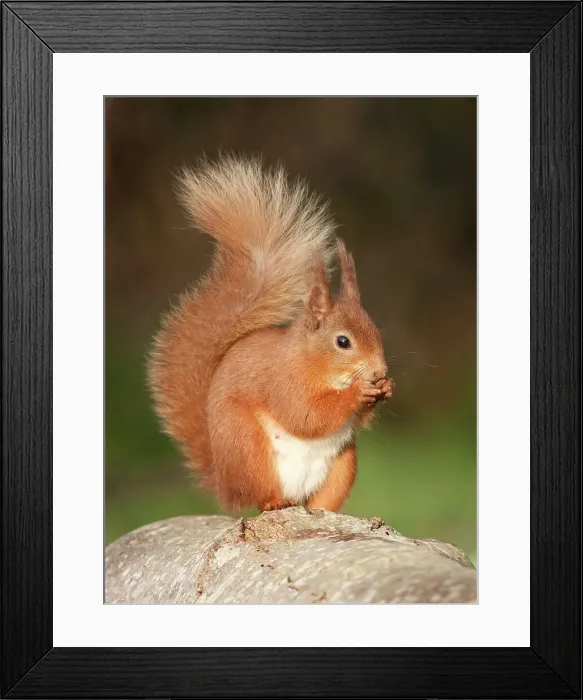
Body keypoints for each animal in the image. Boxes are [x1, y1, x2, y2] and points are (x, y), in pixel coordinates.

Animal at [148, 156, 393, 513]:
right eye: (343, 342)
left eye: (376, 331)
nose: (379, 370)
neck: (317, 365)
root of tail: (226, 484)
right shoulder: (283, 380)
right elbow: (304, 415)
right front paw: (358, 391)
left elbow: (354, 422)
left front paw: (385, 388)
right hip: (247, 446)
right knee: (261, 496)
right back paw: (276, 502)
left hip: (343, 463)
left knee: (322, 499)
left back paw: (321, 510)